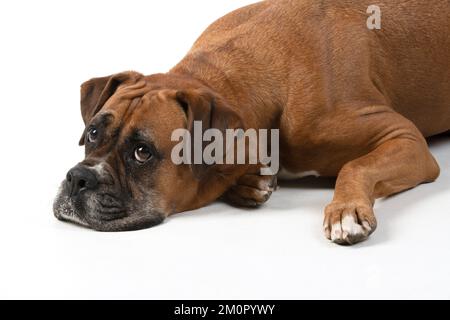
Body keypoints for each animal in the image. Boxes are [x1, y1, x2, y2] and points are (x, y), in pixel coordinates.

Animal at [53, 0, 450, 245]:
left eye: (142, 152)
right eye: (92, 133)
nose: (78, 178)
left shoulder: (406, 138)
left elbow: (356, 166)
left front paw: (345, 211)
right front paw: (252, 182)